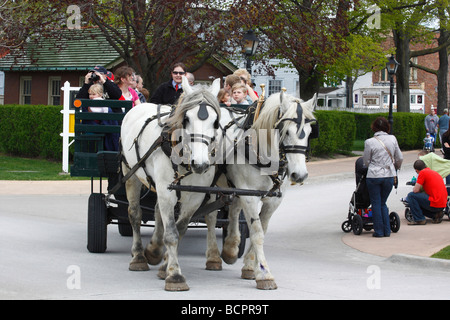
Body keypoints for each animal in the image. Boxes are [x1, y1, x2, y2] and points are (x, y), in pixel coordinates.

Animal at [121, 76, 221, 292]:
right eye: (187, 119)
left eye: (216, 122)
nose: (200, 164)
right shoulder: (167, 192)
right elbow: (172, 234)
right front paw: (175, 275)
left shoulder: (195, 197)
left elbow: (180, 230)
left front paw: (165, 265)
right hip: (131, 174)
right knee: (134, 214)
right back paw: (139, 256)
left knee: (158, 211)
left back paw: (154, 250)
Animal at [204, 90, 316, 290]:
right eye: (286, 131)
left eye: (310, 133)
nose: (300, 175)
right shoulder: (250, 195)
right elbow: (256, 233)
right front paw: (264, 273)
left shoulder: (273, 200)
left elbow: (261, 229)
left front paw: (250, 265)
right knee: (210, 216)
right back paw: (214, 257)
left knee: (234, 211)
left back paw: (230, 248)